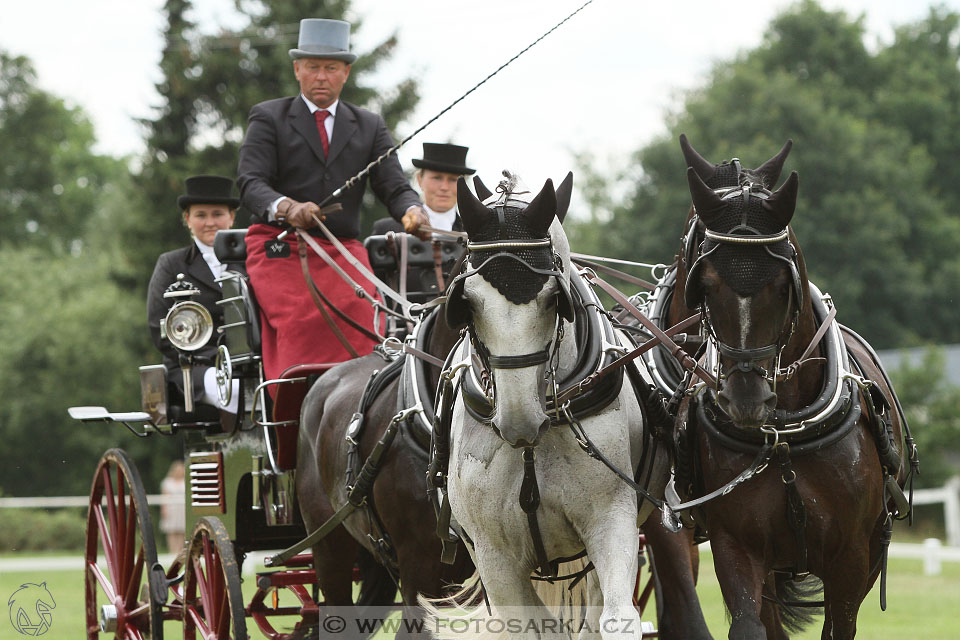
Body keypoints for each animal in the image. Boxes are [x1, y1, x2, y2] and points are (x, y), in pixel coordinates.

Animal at [430, 175, 668, 640]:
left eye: (551, 298)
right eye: (469, 302)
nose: (520, 419)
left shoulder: (611, 520)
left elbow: (616, 619)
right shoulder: (495, 557)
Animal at [680, 166, 912, 640]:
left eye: (782, 285)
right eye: (707, 284)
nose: (745, 399)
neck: (785, 434)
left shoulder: (850, 559)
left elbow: (839, 627)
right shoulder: (737, 546)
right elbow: (750, 625)